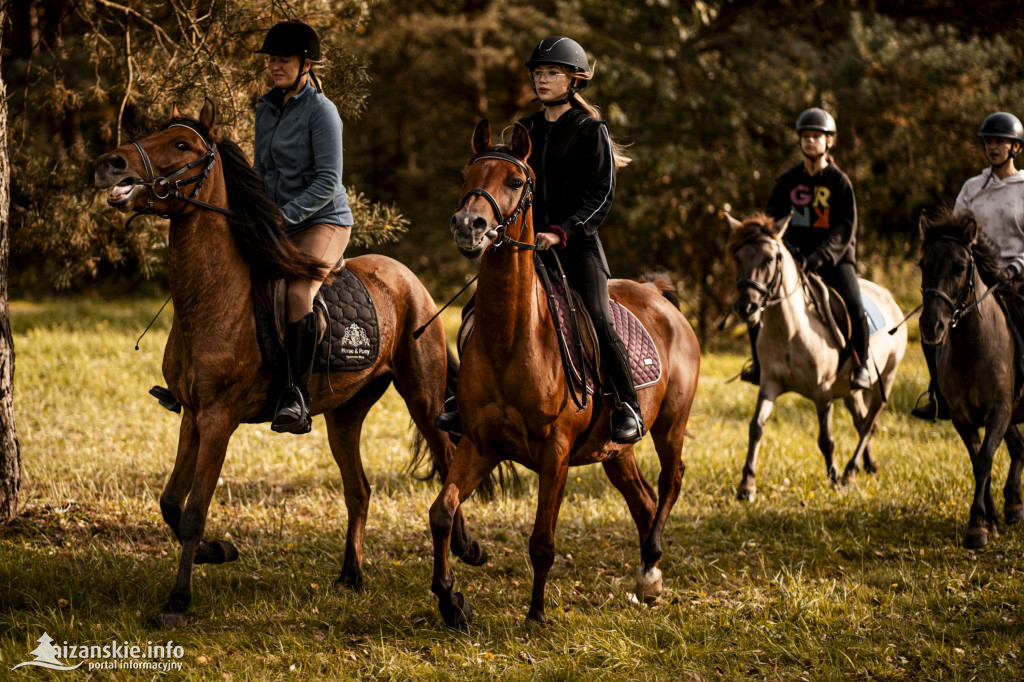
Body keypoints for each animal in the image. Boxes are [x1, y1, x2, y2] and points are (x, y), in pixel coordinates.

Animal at [90, 98, 485, 622]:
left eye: (182, 144)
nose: (111, 164)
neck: (214, 301)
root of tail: (409, 279)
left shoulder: (218, 419)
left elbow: (193, 511)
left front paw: (178, 600)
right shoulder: (192, 415)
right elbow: (170, 502)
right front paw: (219, 551)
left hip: (423, 398)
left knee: (445, 464)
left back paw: (463, 558)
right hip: (345, 414)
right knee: (359, 489)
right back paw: (351, 576)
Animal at [425, 122, 704, 626]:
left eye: (516, 181)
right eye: (464, 174)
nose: (468, 226)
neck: (512, 338)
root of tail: (658, 296)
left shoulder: (554, 454)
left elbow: (542, 541)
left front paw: (536, 614)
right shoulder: (479, 443)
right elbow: (443, 511)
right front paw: (451, 599)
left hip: (671, 426)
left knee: (670, 482)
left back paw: (651, 567)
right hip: (615, 451)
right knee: (643, 500)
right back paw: (648, 577)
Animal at [729, 212, 905, 499]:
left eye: (769, 259)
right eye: (738, 257)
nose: (747, 307)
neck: (790, 331)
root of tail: (890, 299)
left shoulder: (822, 392)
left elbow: (826, 439)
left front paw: (833, 477)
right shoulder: (769, 384)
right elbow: (756, 427)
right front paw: (747, 485)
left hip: (885, 381)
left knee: (869, 423)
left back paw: (849, 472)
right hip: (850, 389)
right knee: (861, 420)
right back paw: (869, 466)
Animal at [921, 209, 1024, 548]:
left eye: (959, 267)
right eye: (922, 264)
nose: (931, 327)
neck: (972, 349)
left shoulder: (998, 412)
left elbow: (984, 461)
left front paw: (977, 527)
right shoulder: (962, 418)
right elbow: (979, 459)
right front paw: (988, 521)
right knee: (1019, 448)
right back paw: (1013, 505)